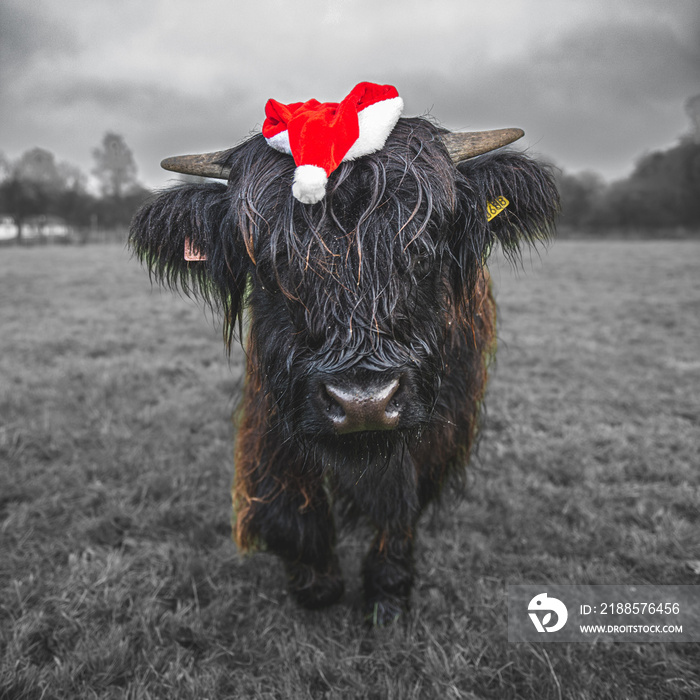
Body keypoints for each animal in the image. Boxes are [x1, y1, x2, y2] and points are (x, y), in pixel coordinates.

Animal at [130, 83, 556, 624]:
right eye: (270, 262)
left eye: (421, 248)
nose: (362, 402)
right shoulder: (275, 401)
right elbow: (286, 502)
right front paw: (316, 583)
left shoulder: (439, 418)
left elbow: (401, 499)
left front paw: (388, 590)